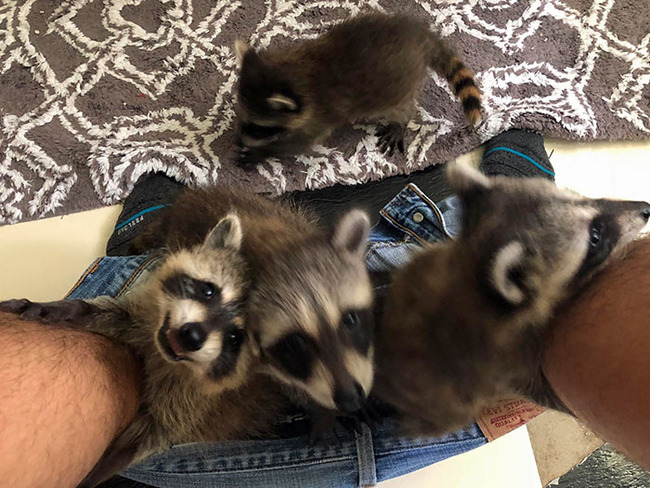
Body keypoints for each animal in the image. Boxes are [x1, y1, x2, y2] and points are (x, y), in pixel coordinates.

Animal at [1, 216, 289, 487]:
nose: (192, 336)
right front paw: (63, 310)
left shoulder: (196, 405)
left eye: (235, 338)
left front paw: (99, 469)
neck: (162, 355)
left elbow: (147, 438)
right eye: (208, 291)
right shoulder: (142, 318)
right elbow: (107, 313)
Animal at [235, 12, 481, 166]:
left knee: (402, 107)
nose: (238, 143)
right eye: (243, 118)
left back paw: (400, 122)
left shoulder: (319, 118)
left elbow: (298, 144)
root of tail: (419, 36)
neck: (296, 73)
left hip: (398, 87)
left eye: (259, 127)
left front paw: (264, 152)